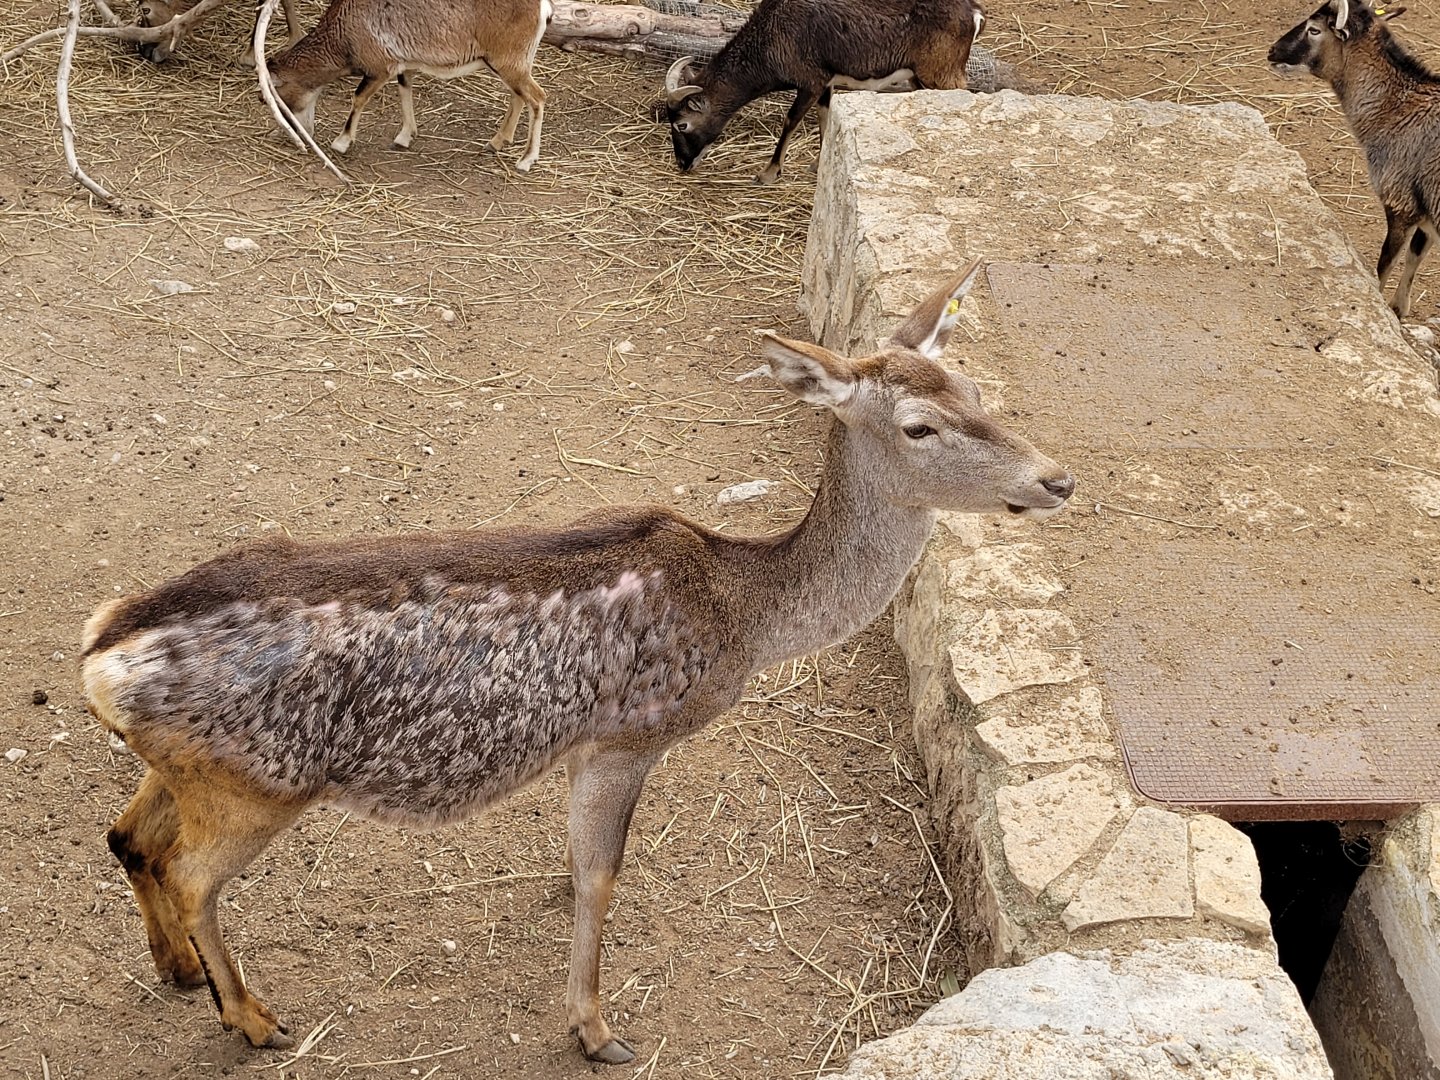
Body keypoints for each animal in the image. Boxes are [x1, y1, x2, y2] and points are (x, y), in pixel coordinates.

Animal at [82, 259, 1073, 1064]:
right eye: (918, 427)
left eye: (975, 385)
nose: (1056, 478)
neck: (745, 616)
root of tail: (100, 660)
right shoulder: (629, 734)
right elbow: (605, 875)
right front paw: (595, 1029)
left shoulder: (585, 747)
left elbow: (578, 863)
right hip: (260, 786)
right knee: (190, 873)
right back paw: (250, 1016)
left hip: (196, 770)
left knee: (130, 836)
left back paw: (178, 970)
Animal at [264, 0, 552, 169]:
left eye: (271, 95)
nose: (284, 132)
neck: (343, 32)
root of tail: (543, 8)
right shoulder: (404, 65)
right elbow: (405, 91)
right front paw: (404, 137)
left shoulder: (380, 68)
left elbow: (358, 98)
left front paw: (342, 142)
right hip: (511, 64)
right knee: (519, 96)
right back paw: (497, 142)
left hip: (508, 62)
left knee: (537, 97)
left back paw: (526, 160)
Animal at [664, 0, 985, 185]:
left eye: (682, 124)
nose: (682, 163)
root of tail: (974, 13)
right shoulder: (827, 83)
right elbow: (825, 118)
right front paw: (820, 164)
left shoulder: (811, 81)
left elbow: (791, 120)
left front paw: (769, 173)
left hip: (941, 74)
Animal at [1270, 0, 1440, 316]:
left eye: (1314, 30)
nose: (1272, 51)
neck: (1396, 108)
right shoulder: (1425, 213)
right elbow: (1414, 257)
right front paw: (1398, 309)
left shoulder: (1400, 202)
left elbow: (1385, 265)